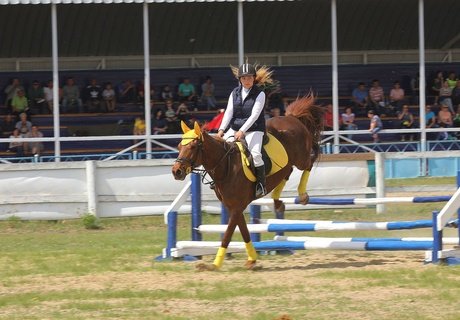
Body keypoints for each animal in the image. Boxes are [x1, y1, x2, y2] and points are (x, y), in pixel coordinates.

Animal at [172, 95, 324, 270]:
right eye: (179, 146)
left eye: (193, 146)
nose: (176, 171)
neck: (226, 165)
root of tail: (292, 117)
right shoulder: (233, 207)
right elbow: (244, 232)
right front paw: (252, 259)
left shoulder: (237, 207)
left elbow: (228, 235)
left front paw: (215, 264)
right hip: (288, 164)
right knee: (287, 173)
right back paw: (278, 202)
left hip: (301, 159)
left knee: (311, 160)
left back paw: (303, 195)